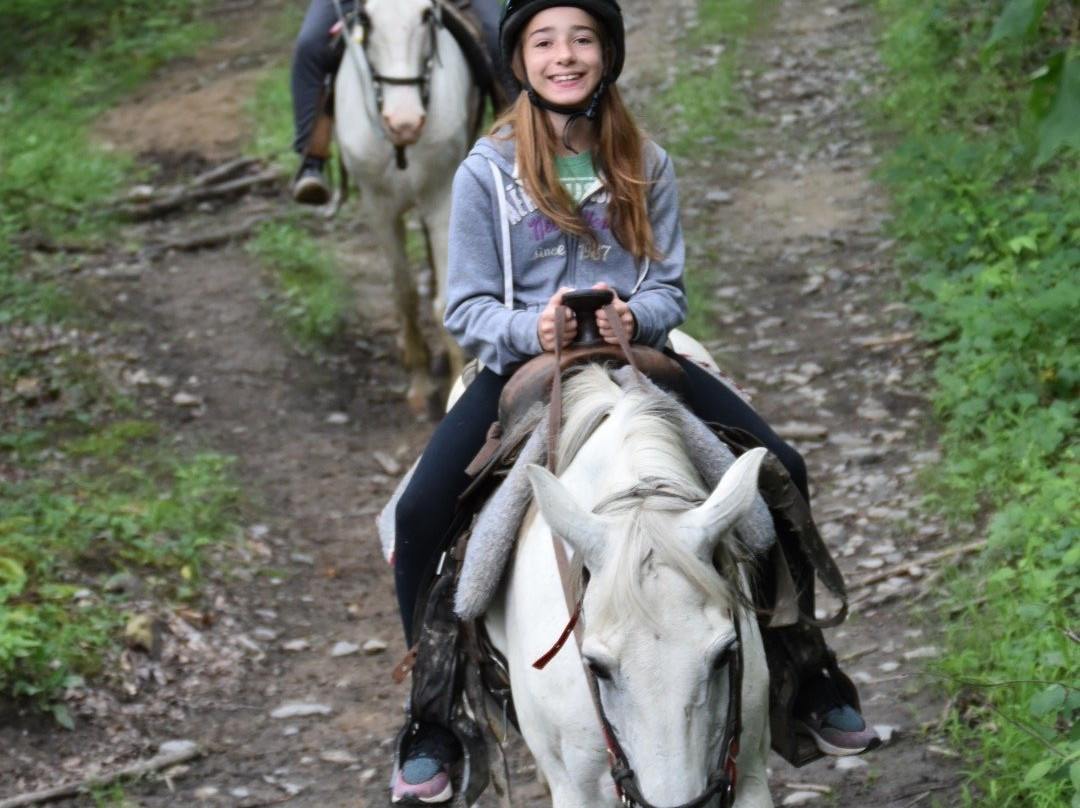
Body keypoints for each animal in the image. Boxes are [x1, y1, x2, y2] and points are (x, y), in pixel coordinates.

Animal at [332, 0, 477, 412]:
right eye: (365, 19)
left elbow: (446, 298)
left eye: (426, 15)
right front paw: (420, 383)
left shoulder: (443, 198)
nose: (405, 123)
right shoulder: (378, 207)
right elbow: (404, 293)